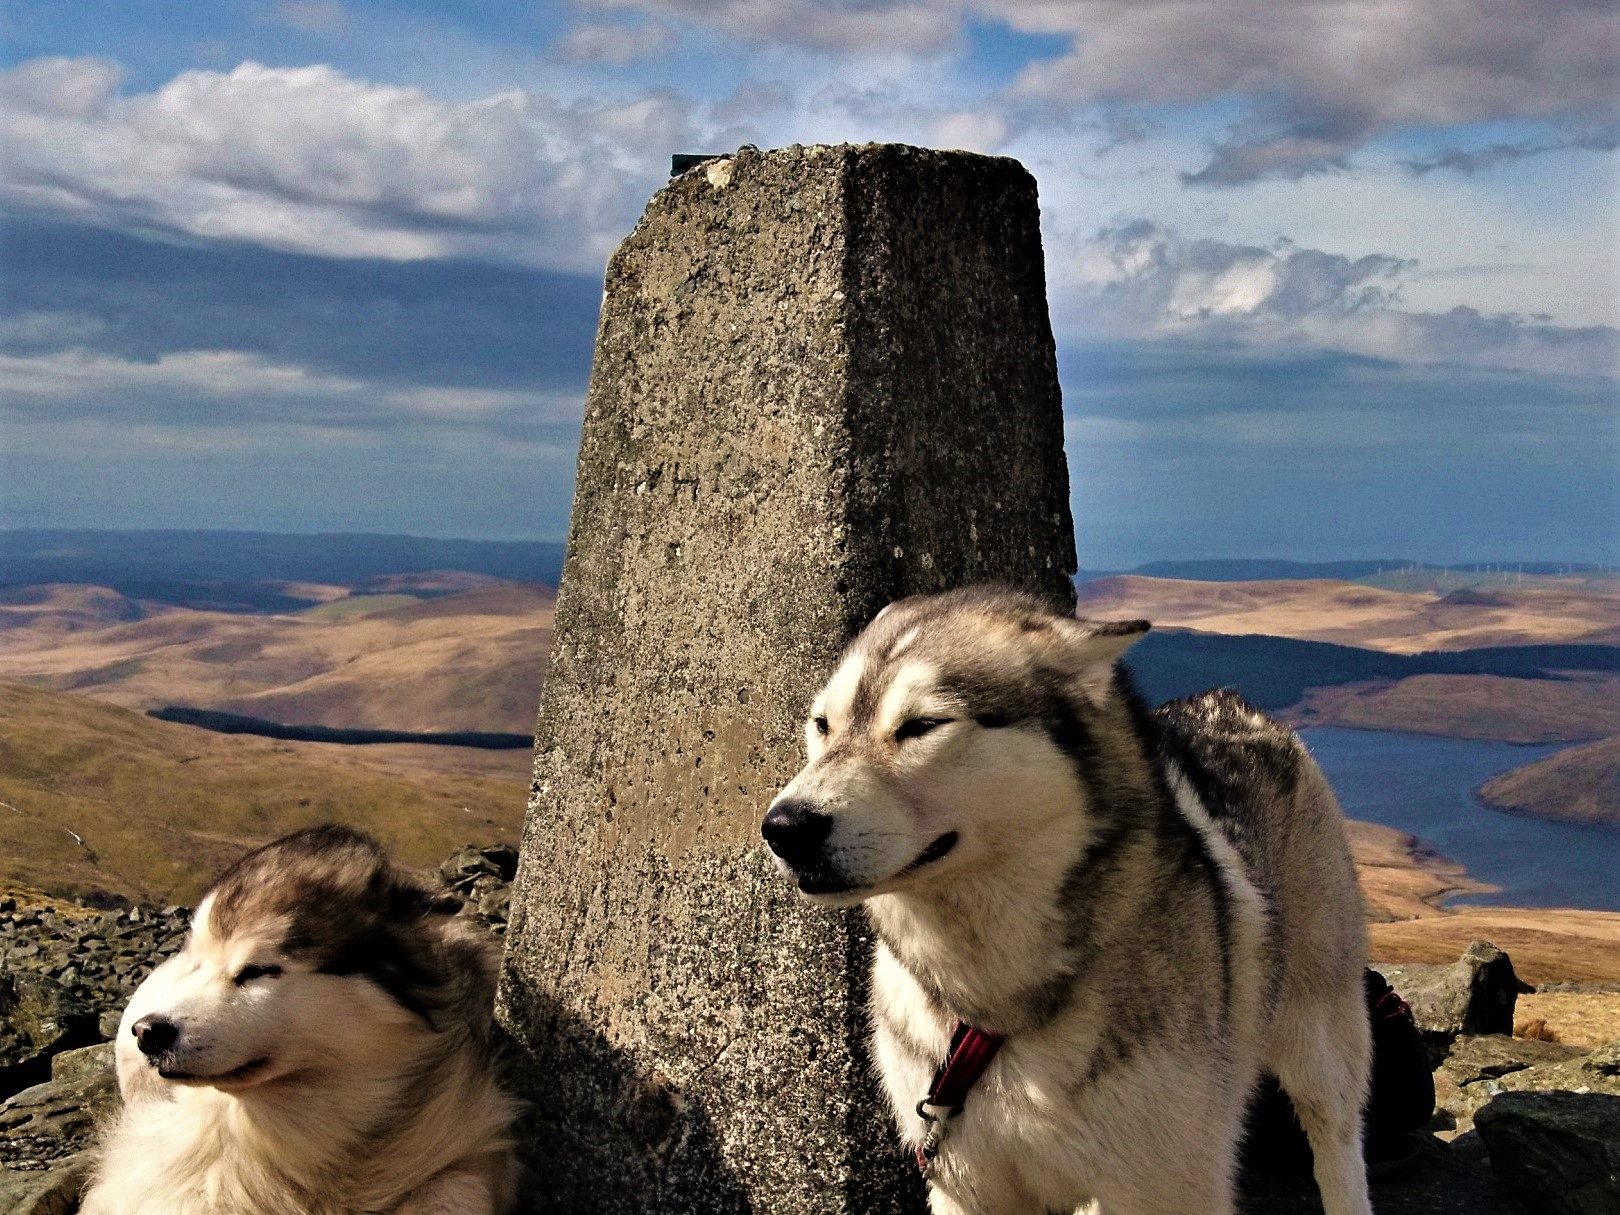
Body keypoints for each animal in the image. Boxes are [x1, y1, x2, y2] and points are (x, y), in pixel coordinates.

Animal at [764, 589, 1373, 1215]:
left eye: (922, 726)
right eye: (822, 725)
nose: (784, 828)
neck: (992, 1001)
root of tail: (1233, 702)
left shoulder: (1166, 1185)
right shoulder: (967, 1183)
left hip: (1321, 1045)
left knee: (1337, 1141)